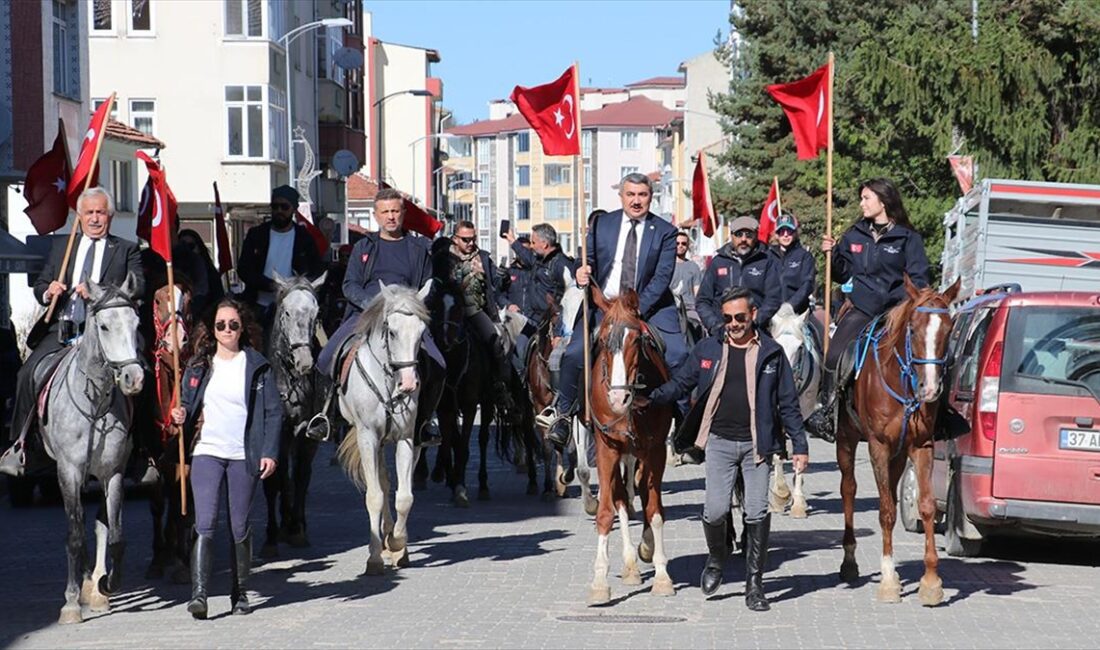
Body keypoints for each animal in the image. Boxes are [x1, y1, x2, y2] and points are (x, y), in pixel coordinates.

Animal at [40, 276, 144, 624]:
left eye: (136, 323)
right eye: (104, 326)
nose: (134, 378)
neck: (95, 405)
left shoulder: (113, 472)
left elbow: (114, 534)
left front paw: (106, 584)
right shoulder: (69, 471)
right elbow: (74, 534)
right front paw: (71, 603)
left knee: (98, 524)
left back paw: (95, 587)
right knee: (79, 525)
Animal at [336, 285, 431, 576]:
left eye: (422, 332)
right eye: (392, 331)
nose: (409, 384)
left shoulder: (407, 438)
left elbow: (405, 497)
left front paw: (397, 543)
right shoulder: (367, 437)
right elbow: (375, 495)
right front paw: (375, 557)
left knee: (391, 483)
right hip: (372, 441)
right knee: (381, 482)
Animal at [589, 288, 673, 607]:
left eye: (636, 340)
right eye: (602, 339)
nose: (617, 399)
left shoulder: (656, 450)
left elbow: (655, 510)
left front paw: (662, 576)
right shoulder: (606, 449)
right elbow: (606, 512)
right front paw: (599, 582)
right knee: (622, 500)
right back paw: (629, 566)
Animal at [836, 277, 959, 607]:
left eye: (948, 330)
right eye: (913, 329)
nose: (930, 389)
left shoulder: (921, 446)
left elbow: (926, 505)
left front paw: (931, 581)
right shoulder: (877, 445)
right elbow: (886, 511)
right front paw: (889, 580)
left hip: (899, 454)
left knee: (890, 490)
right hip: (846, 439)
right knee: (849, 489)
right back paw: (849, 562)